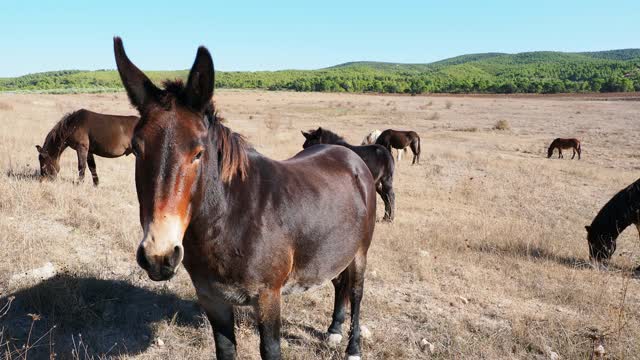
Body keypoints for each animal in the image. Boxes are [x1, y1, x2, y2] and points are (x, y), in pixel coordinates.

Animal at [113, 38, 378, 360]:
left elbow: (271, 349)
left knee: (356, 292)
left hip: (361, 252)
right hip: (334, 248)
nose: (159, 256)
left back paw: (353, 347)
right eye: (136, 150)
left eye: (198, 153)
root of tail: (348, 153)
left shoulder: (267, 297)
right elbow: (225, 349)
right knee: (339, 282)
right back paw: (334, 331)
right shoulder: (211, 297)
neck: (230, 220)